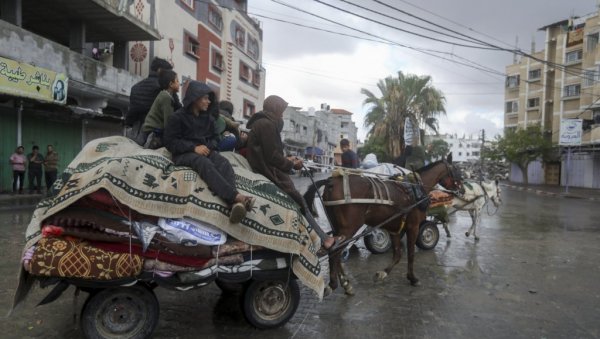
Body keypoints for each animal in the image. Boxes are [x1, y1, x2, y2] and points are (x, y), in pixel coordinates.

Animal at [308, 155, 462, 296]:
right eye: (456, 170)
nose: (461, 190)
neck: (416, 187)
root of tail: (331, 182)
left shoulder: (394, 228)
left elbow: (398, 254)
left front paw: (382, 273)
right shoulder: (413, 226)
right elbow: (411, 254)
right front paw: (413, 278)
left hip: (337, 227)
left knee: (335, 250)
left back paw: (346, 284)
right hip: (349, 228)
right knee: (334, 252)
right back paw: (333, 284)